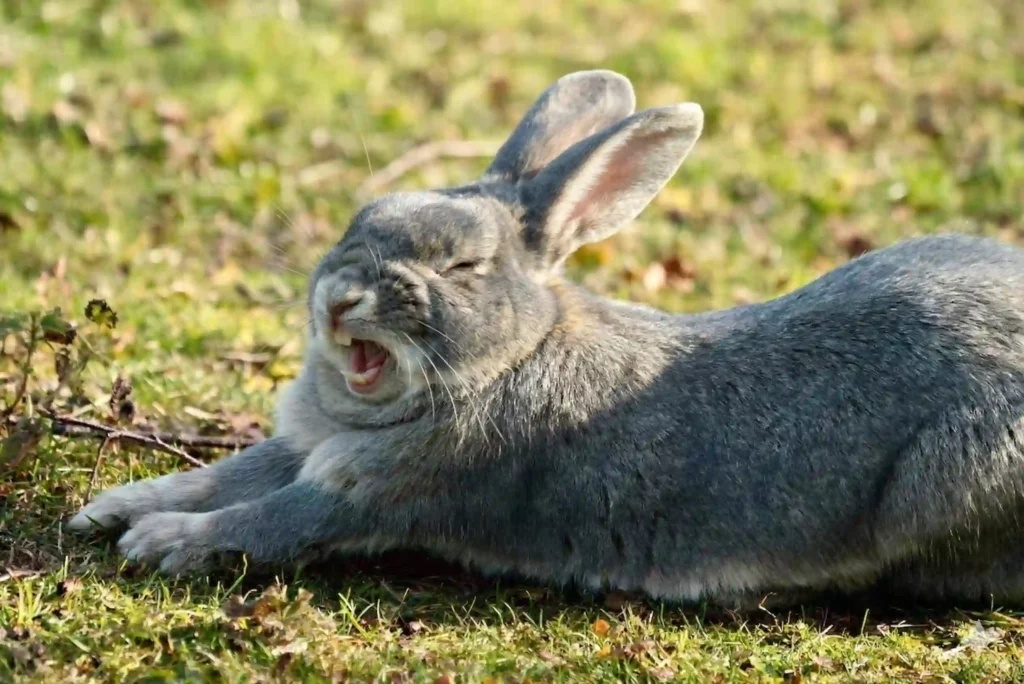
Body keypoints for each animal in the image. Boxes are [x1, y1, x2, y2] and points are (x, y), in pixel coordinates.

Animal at [70, 69, 1024, 607]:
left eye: (461, 265)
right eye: (358, 220)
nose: (341, 302)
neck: (507, 358)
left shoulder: (379, 495)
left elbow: (269, 517)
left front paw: (163, 544)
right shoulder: (309, 448)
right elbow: (227, 473)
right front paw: (116, 506)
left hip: (950, 481)